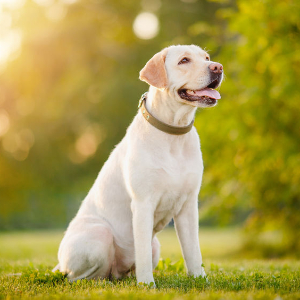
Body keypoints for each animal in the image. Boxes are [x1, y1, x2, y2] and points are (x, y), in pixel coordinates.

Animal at [53, 44, 223, 286]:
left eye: (207, 57)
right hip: (99, 235)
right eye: (184, 60)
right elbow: (141, 251)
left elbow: (193, 251)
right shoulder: (143, 203)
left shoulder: (188, 206)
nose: (217, 67)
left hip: (155, 245)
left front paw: (200, 280)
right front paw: (146, 285)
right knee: (80, 276)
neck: (174, 134)